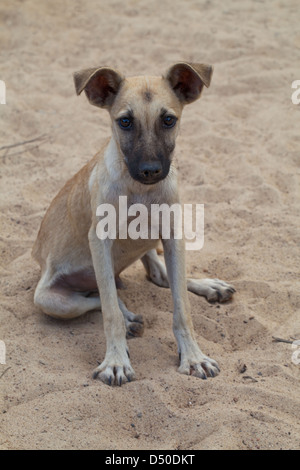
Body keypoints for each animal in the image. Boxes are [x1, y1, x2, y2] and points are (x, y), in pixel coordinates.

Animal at [32, 62, 234, 386]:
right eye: (125, 122)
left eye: (168, 120)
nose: (151, 171)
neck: (141, 191)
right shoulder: (99, 242)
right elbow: (110, 312)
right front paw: (116, 361)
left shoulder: (173, 235)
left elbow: (182, 308)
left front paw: (193, 356)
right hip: (51, 301)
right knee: (100, 298)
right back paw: (128, 318)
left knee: (160, 276)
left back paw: (208, 285)